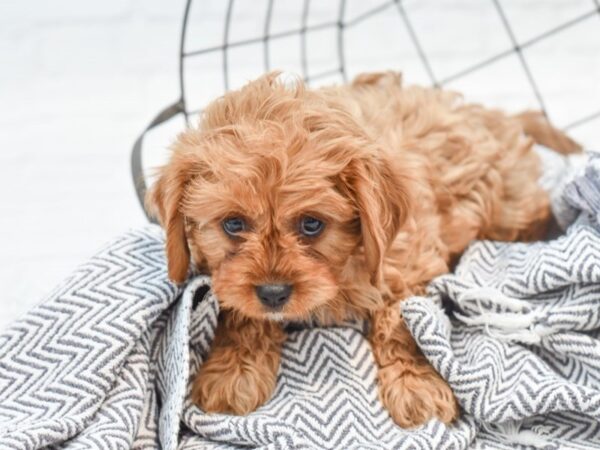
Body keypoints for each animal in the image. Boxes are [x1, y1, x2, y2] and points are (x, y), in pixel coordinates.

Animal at [146, 72, 580, 428]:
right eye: (233, 225)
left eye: (312, 224)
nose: (273, 293)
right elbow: (241, 311)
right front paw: (234, 368)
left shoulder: (408, 261)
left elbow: (404, 323)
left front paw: (416, 385)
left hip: (508, 207)